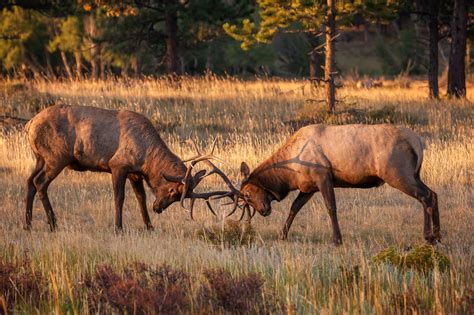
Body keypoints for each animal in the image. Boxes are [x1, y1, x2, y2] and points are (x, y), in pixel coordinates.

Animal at [23, 105, 231, 231]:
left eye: (183, 196)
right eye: (173, 190)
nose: (158, 208)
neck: (147, 159)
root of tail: (29, 124)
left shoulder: (134, 173)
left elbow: (141, 197)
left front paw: (149, 227)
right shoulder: (118, 165)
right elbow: (119, 198)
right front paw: (118, 228)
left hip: (39, 158)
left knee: (29, 181)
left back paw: (28, 224)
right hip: (56, 157)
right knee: (40, 182)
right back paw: (53, 224)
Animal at [227, 124, 440, 247]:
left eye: (247, 193)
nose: (264, 211)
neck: (290, 174)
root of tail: (419, 142)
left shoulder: (323, 176)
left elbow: (331, 207)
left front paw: (337, 239)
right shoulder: (308, 187)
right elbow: (294, 208)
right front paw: (282, 234)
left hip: (397, 173)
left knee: (426, 196)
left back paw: (429, 237)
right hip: (413, 174)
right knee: (434, 193)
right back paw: (437, 236)